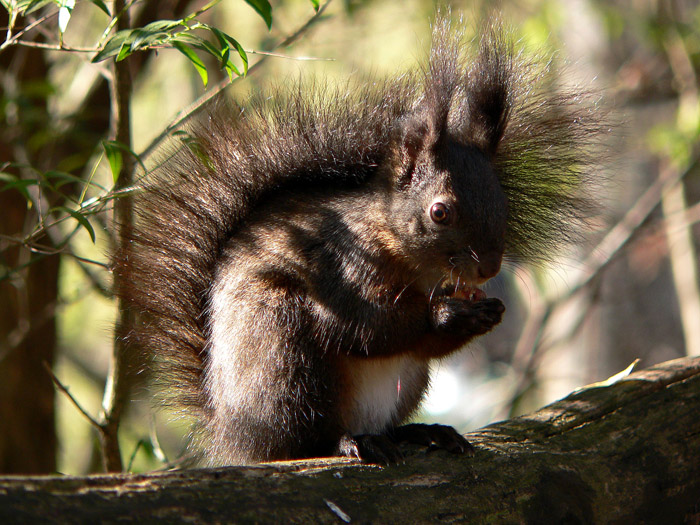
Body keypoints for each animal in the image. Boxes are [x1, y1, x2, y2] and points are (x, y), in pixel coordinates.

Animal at [117, 15, 604, 462]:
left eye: (500, 199)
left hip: (407, 383)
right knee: (301, 439)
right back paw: (348, 441)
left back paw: (419, 433)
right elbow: (365, 325)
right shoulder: (340, 264)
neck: (403, 253)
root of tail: (232, 434)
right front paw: (449, 314)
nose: (488, 269)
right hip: (283, 352)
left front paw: (488, 312)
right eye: (440, 212)